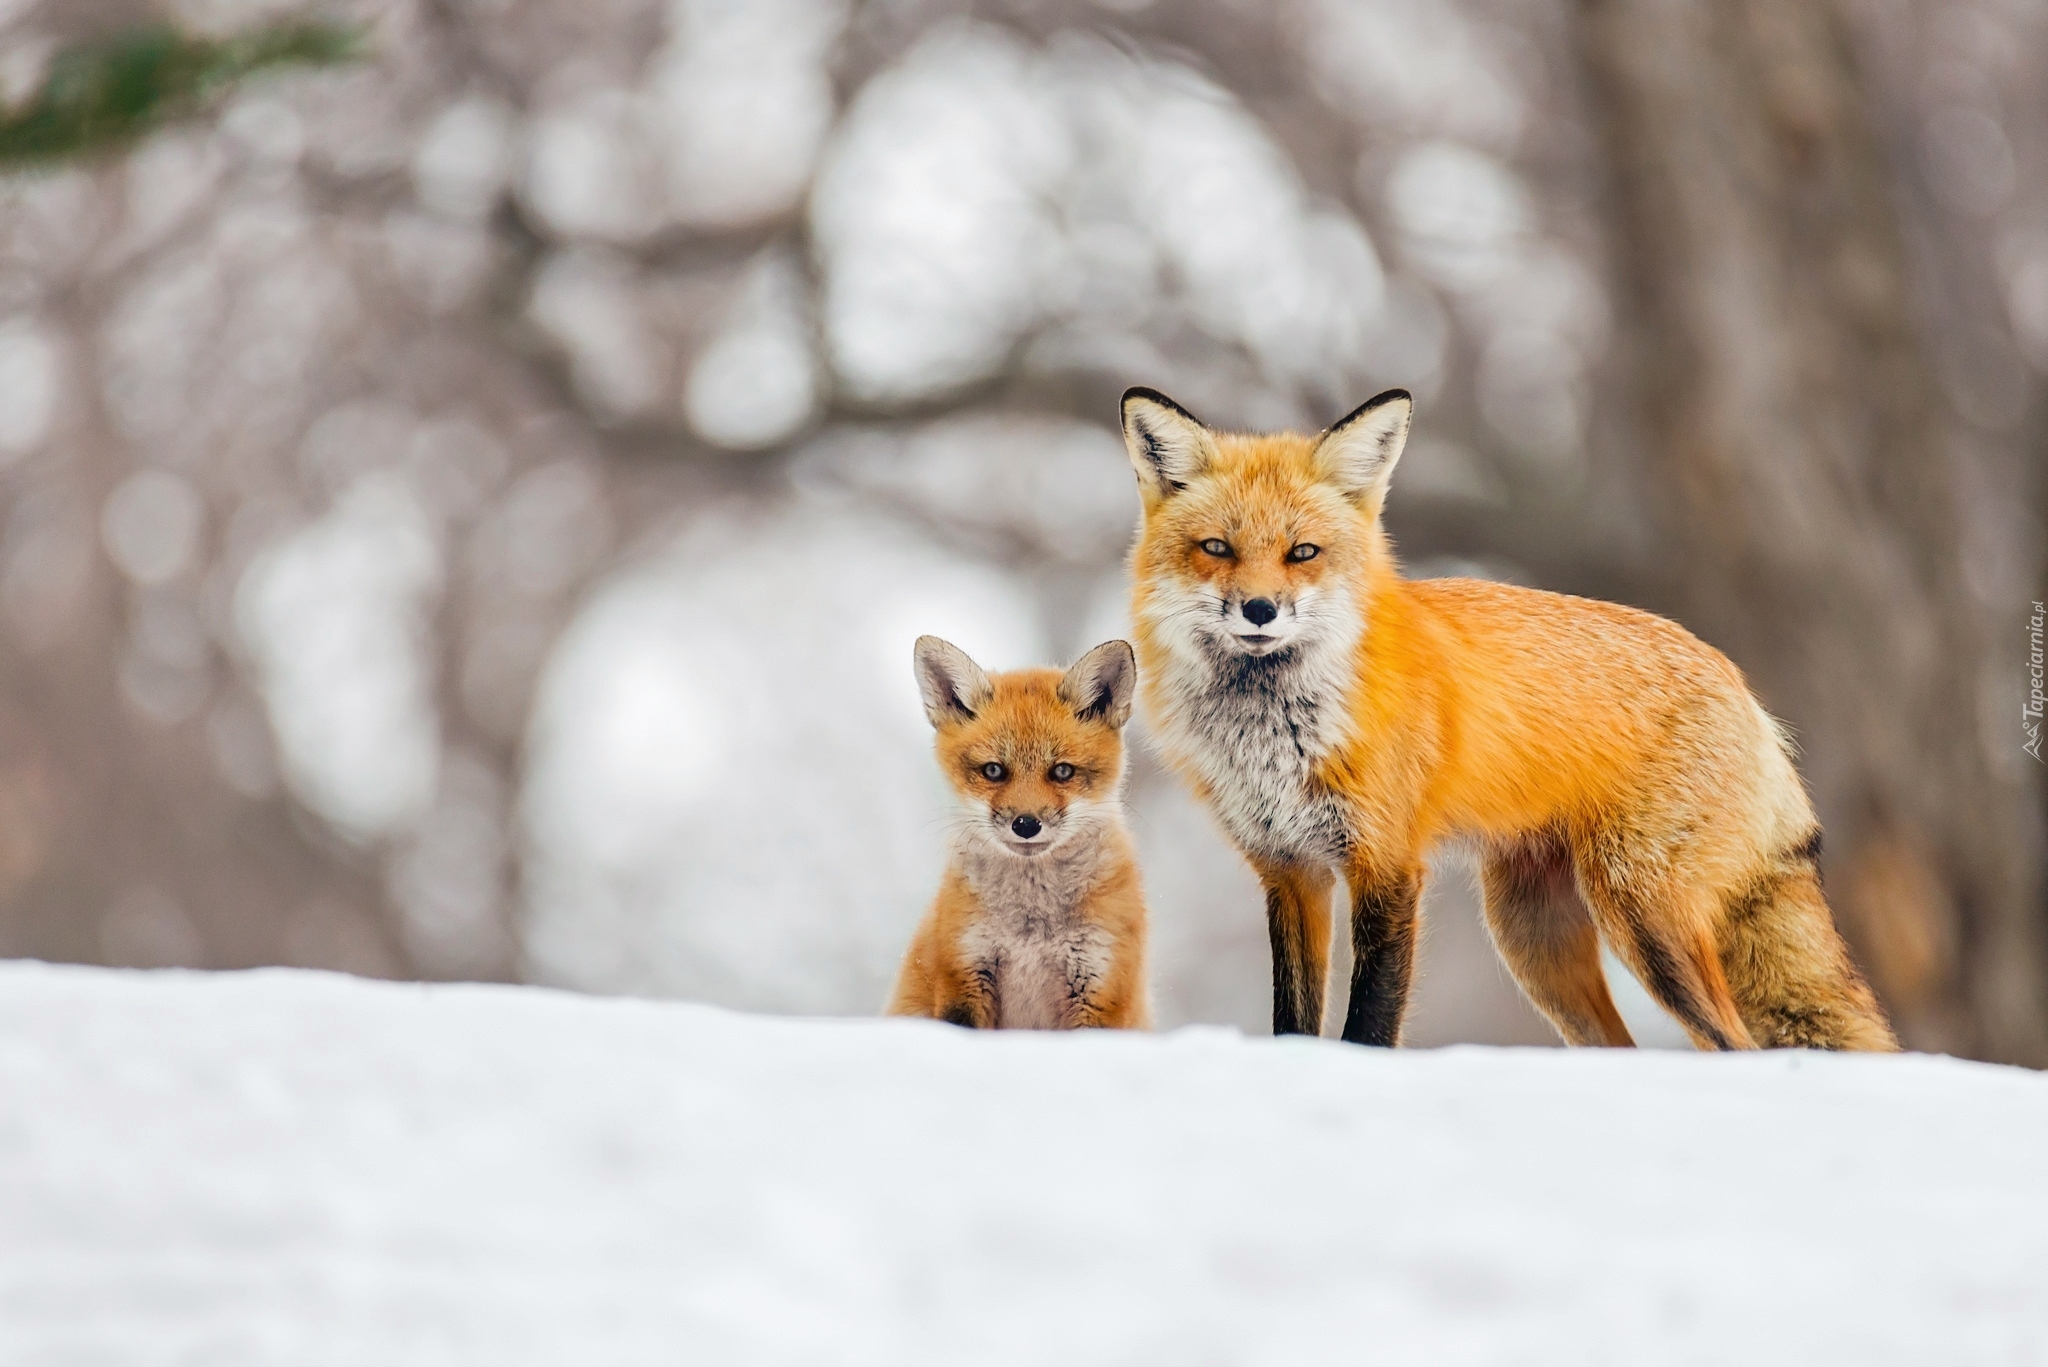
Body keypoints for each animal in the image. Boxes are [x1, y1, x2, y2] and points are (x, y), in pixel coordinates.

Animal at [888, 635, 1155, 1032]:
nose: (1026, 824)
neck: (1030, 928)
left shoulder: (1099, 988)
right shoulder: (964, 975)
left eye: (1062, 771)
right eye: (994, 770)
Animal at [1130, 389, 1892, 1057]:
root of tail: (1740, 683)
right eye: (1217, 548)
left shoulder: (1388, 864)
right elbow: (1293, 1023)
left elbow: (1369, 1025)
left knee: (1732, 1045)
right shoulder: (1290, 870)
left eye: (1303, 553)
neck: (1274, 736)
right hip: (1533, 939)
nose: (1259, 609)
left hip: (1641, 914)